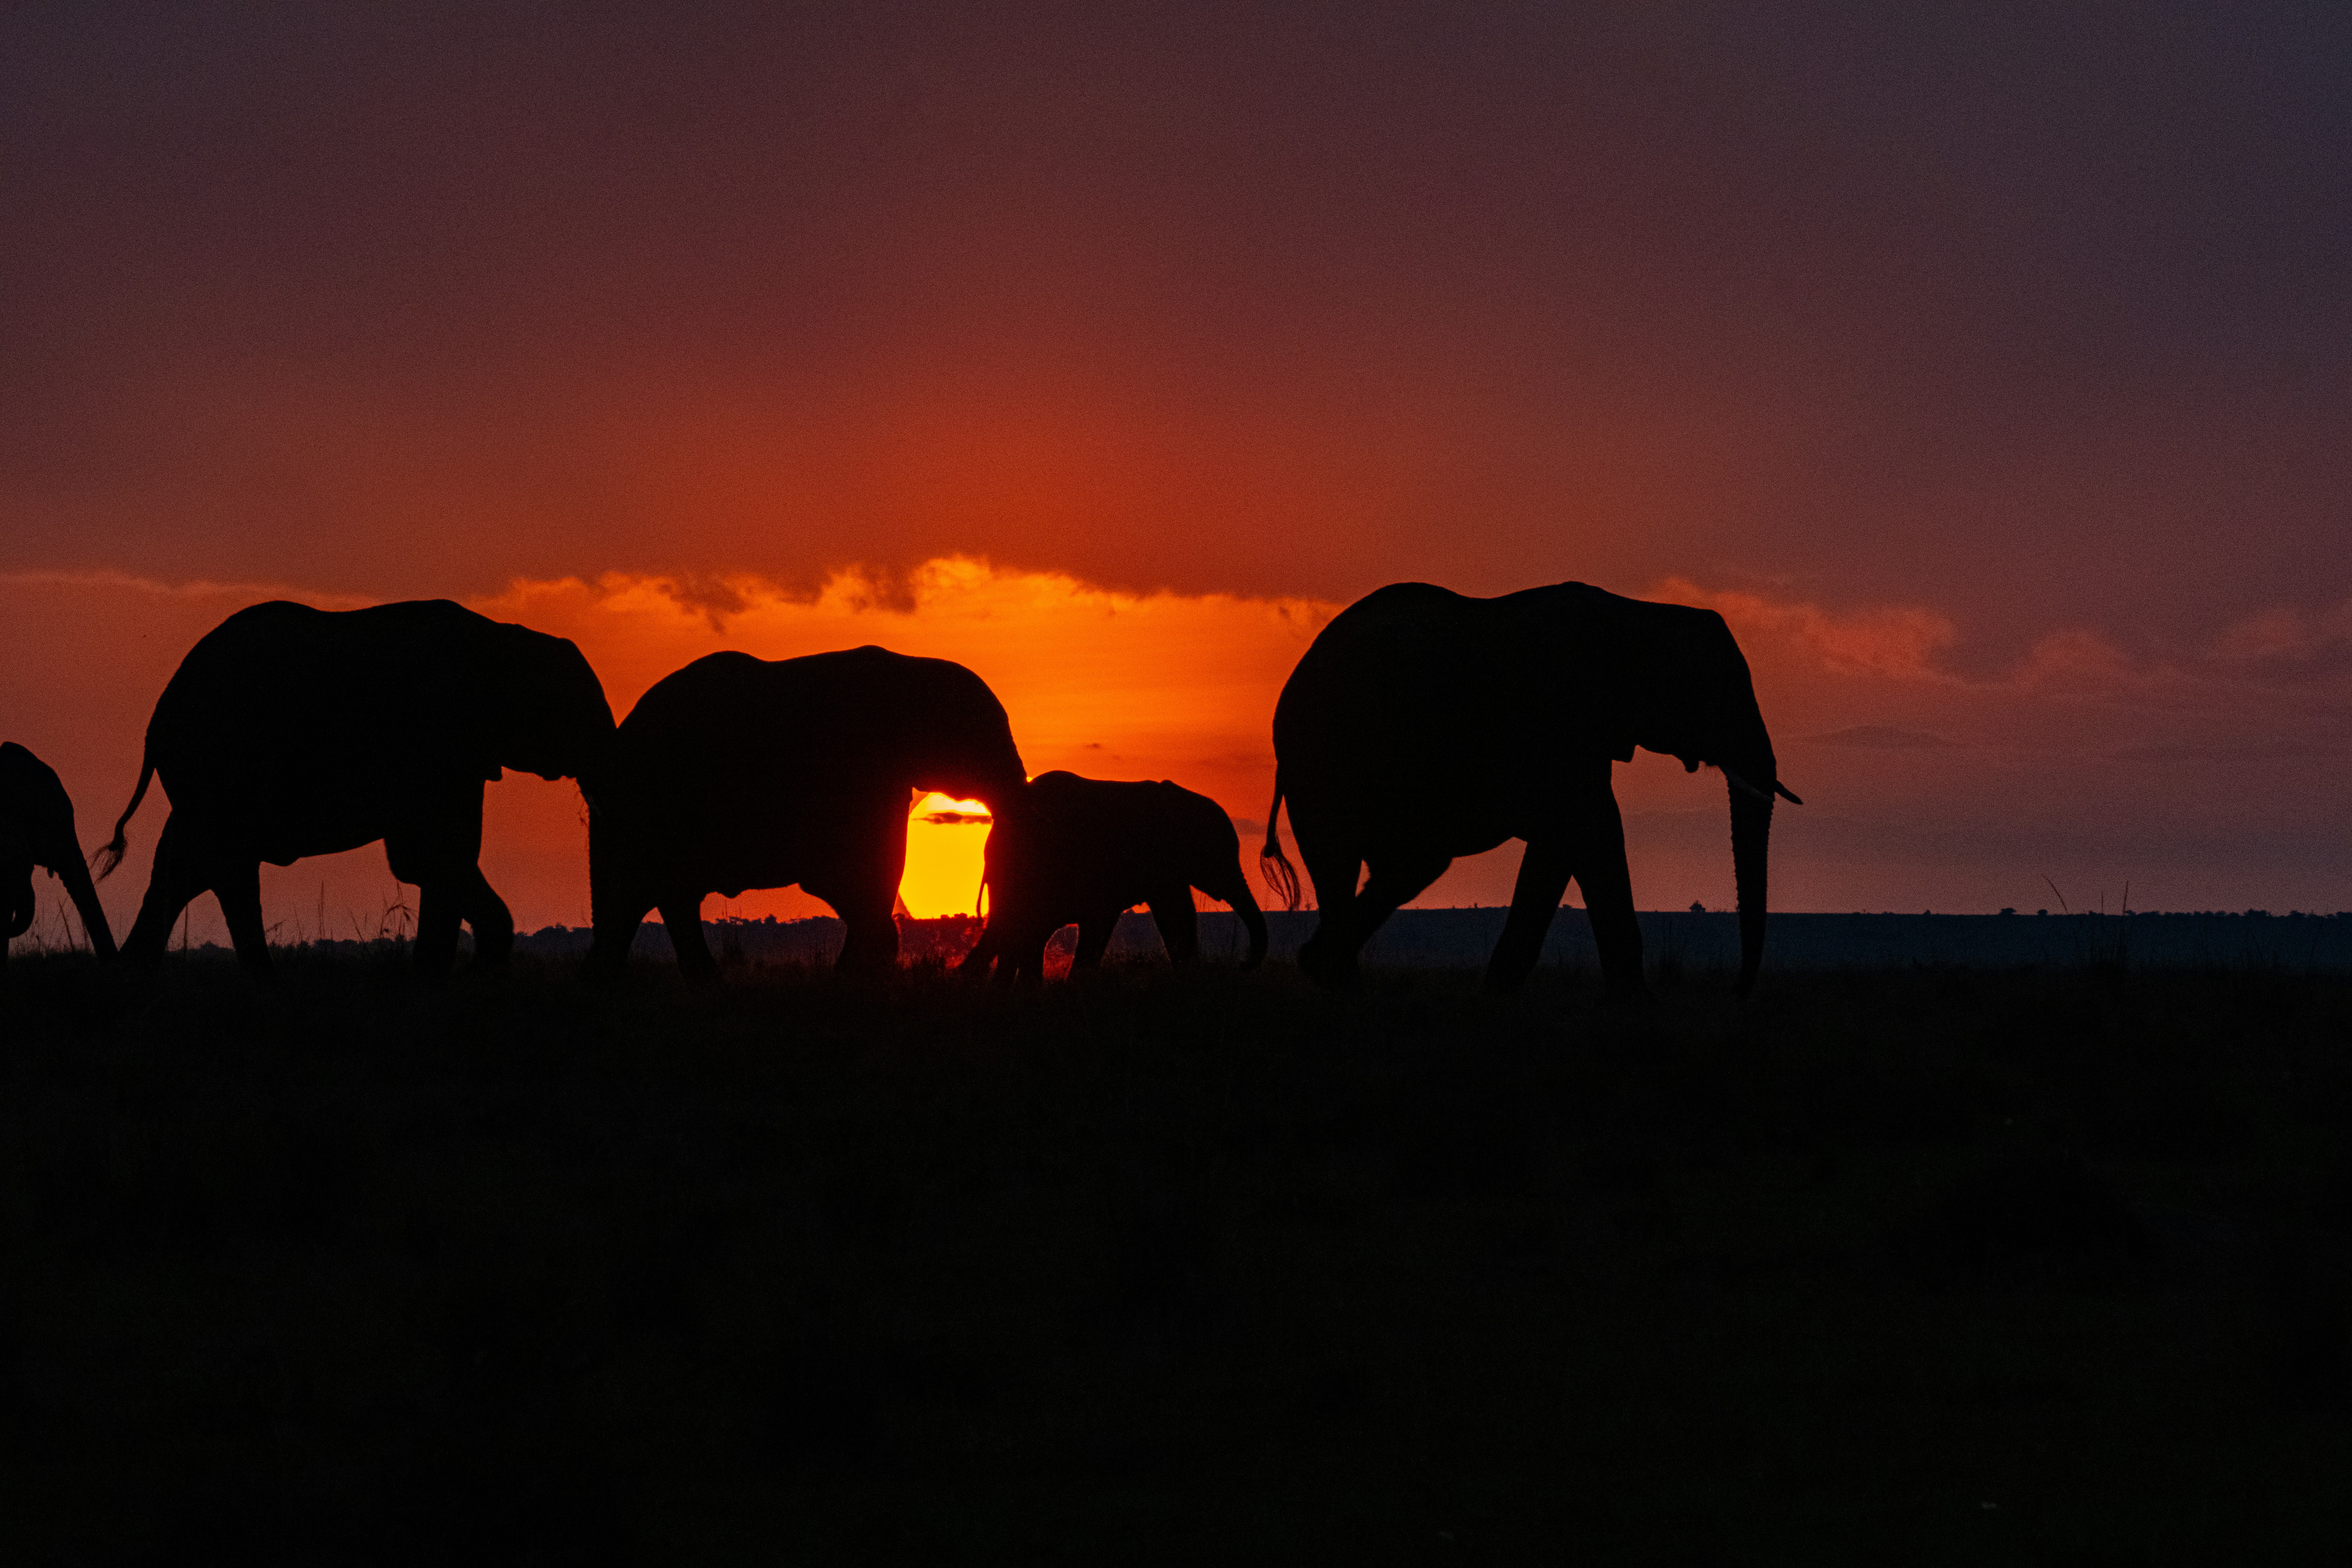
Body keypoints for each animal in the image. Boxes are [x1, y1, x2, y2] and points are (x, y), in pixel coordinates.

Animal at [96, 599, 615, 977]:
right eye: (577, 714)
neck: (505, 637)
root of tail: (158, 716)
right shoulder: (434, 745)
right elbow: (429, 856)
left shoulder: (460, 759)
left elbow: (436, 860)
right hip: (215, 766)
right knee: (225, 868)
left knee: (186, 867)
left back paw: (133, 976)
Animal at [585, 646, 1028, 980]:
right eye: (986, 735)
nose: (959, 975)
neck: (912, 665)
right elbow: (858, 873)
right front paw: (855, 977)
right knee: (650, 892)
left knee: (653, 896)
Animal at [1259, 581, 1799, 999]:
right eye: (1714, 694)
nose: (1734, 992)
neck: (1638, 614)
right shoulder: (1555, 723)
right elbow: (1595, 831)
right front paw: (1638, 1006)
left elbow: (1560, 847)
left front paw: (1496, 997)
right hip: (1324, 763)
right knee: (1350, 862)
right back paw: (1336, 982)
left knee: (1409, 866)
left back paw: (1327, 973)